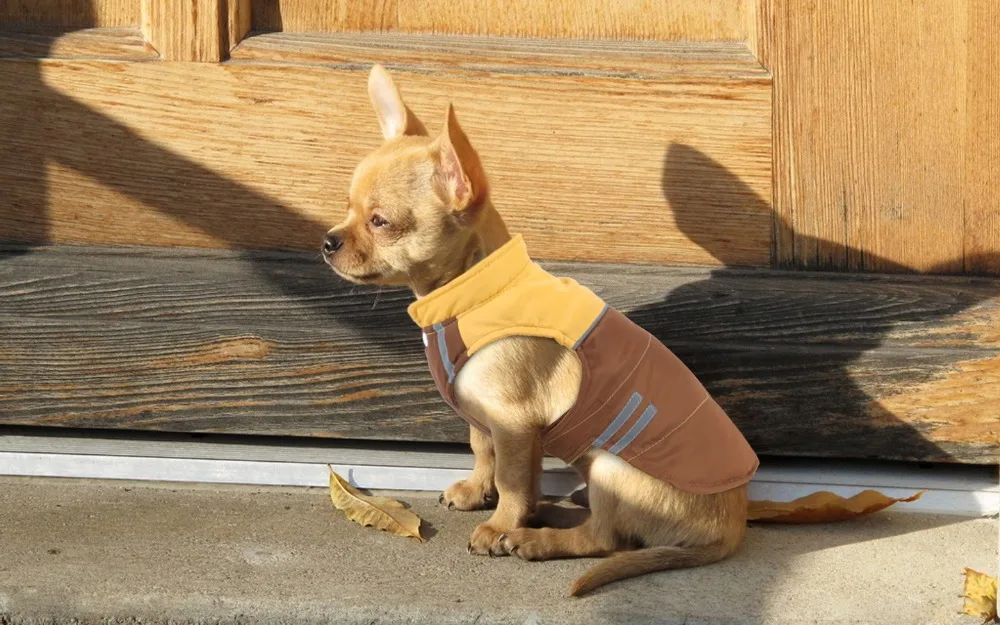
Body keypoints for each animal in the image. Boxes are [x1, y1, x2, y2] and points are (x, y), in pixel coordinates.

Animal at [324, 66, 752, 596]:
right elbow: (487, 453)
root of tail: (730, 528)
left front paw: (499, 526)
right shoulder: (492, 416)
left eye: (380, 222)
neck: (469, 295)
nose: (327, 241)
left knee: (605, 539)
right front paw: (479, 492)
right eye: (346, 208)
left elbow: (511, 478)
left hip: (612, 464)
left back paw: (538, 539)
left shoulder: (514, 420)